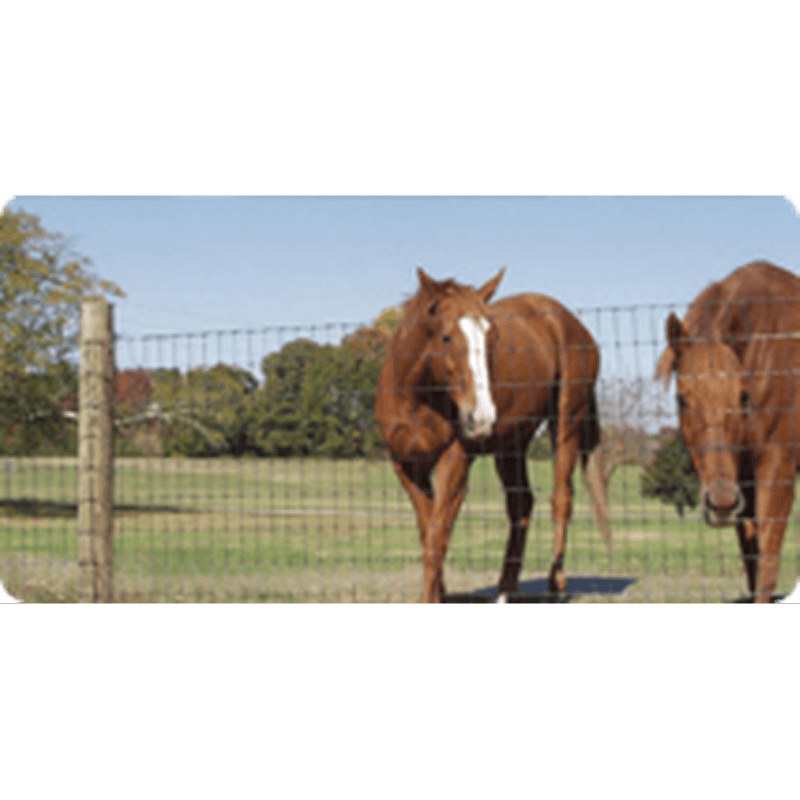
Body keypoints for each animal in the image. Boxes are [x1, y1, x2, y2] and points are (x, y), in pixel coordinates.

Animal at [374, 268, 611, 603]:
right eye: (446, 337)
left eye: (491, 337)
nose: (481, 417)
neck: (416, 399)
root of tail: (573, 324)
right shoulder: (407, 467)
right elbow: (428, 532)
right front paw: (438, 594)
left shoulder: (455, 462)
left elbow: (437, 540)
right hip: (512, 445)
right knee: (521, 503)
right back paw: (505, 590)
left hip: (566, 423)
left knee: (561, 499)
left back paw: (555, 585)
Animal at [656, 260, 800, 603]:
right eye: (682, 399)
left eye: (742, 397)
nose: (720, 502)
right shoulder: (743, 482)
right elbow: (751, 563)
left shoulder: (778, 470)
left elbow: (767, 566)